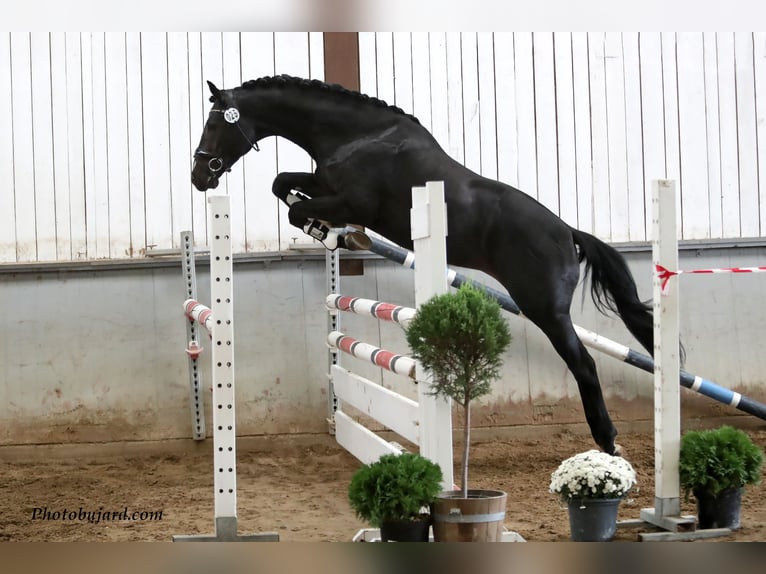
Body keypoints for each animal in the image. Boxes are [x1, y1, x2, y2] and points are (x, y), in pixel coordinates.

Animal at [191, 74, 654, 456]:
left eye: (214, 125)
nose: (200, 177)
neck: (358, 136)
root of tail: (568, 232)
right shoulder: (324, 183)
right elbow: (282, 183)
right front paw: (330, 231)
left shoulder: (351, 201)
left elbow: (294, 203)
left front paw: (328, 232)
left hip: (545, 309)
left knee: (585, 365)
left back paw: (608, 442)